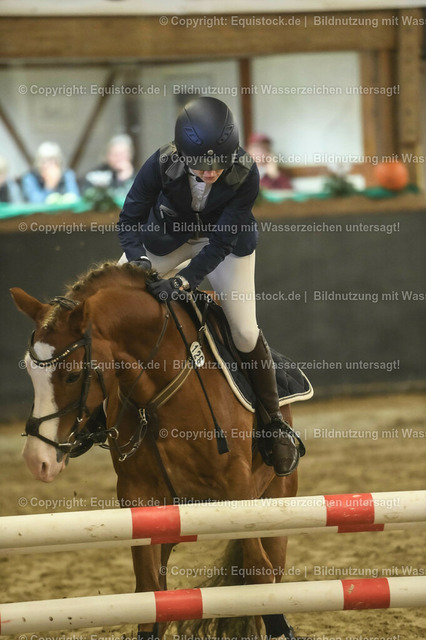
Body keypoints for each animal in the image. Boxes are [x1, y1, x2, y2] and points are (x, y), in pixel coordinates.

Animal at [10, 261, 302, 640]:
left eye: (73, 376)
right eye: (31, 372)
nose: (37, 460)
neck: (157, 392)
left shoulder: (239, 489)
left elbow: (259, 573)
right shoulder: (140, 497)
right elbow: (149, 590)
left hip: (276, 496)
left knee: (272, 568)